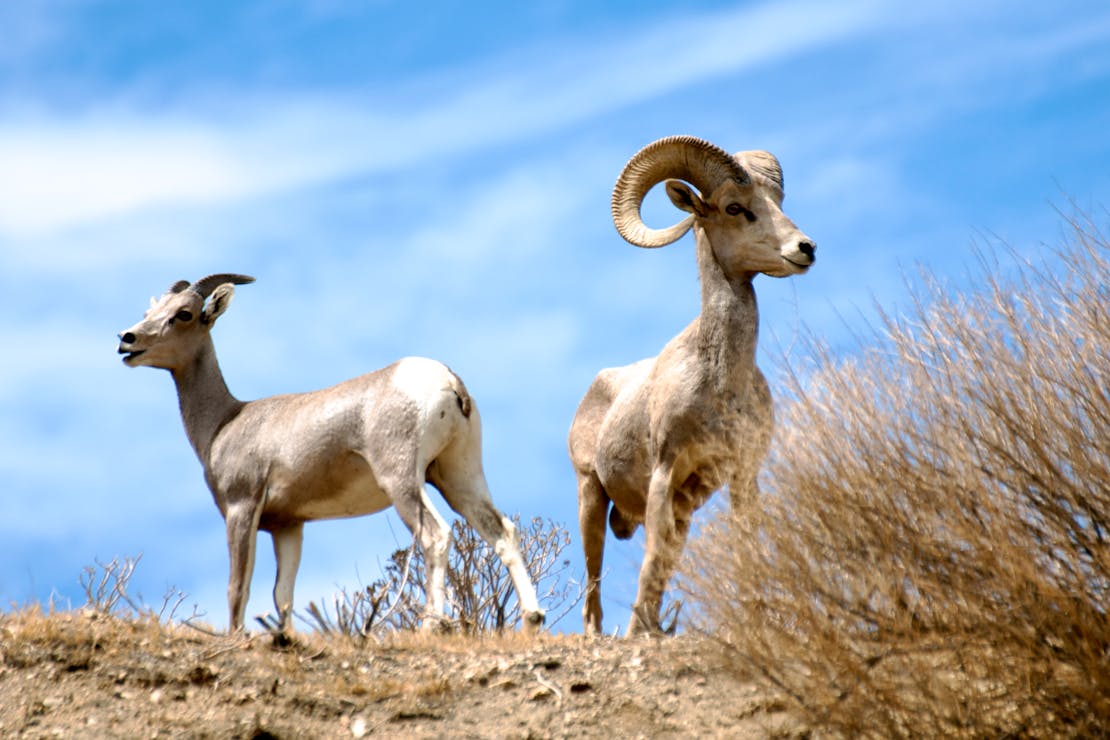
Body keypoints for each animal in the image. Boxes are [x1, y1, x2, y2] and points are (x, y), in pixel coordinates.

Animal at [118, 274, 545, 634]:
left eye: (183, 314)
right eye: (151, 311)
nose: (127, 339)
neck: (225, 421)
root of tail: (448, 380)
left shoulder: (242, 510)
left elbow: (238, 588)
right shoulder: (289, 527)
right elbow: (282, 596)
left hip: (403, 481)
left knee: (436, 536)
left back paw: (431, 626)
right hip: (459, 477)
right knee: (502, 531)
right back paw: (532, 619)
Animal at [568, 135, 816, 636]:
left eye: (778, 203)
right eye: (735, 207)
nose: (805, 248)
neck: (720, 386)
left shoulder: (741, 476)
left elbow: (745, 553)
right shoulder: (664, 474)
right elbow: (650, 564)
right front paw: (640, 634)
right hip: (590, 496)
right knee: (593, 588)